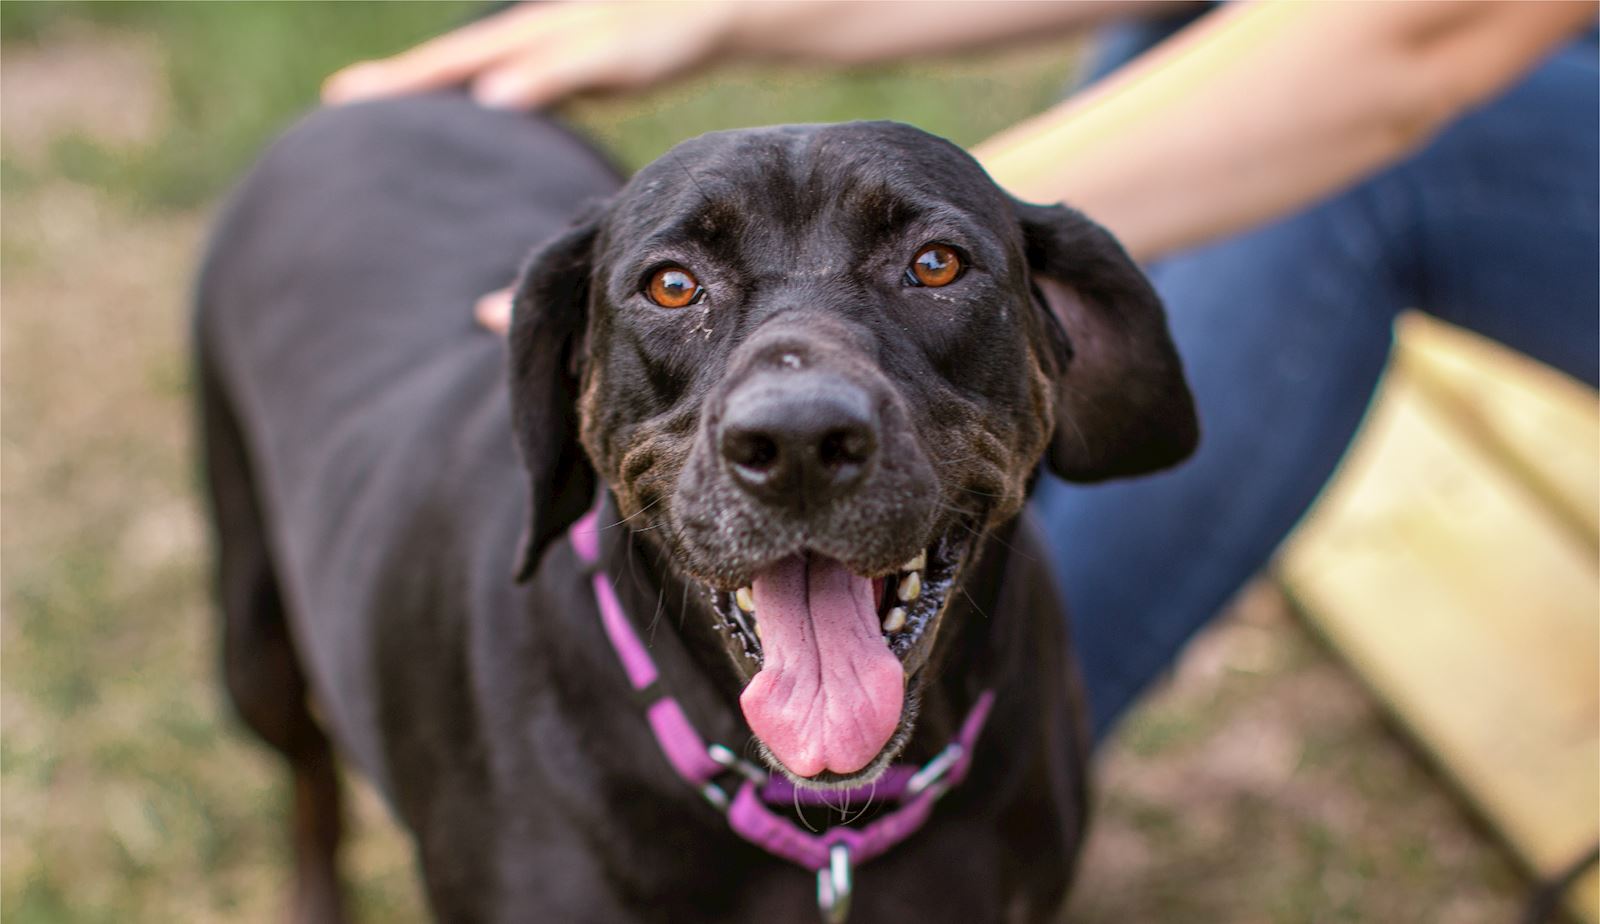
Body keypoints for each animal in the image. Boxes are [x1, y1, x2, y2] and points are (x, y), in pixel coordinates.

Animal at [200, 95, 1196, 920]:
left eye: (937, 263)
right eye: (672, 284)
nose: (798, 443)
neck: (826, 824)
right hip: (254, 648)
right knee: (311, 782)